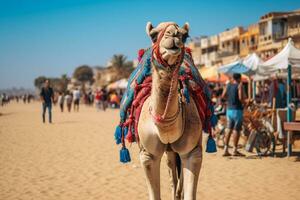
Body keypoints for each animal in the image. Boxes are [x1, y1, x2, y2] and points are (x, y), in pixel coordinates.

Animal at [137, 21, 203, 200]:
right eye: (153, 35)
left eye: (184, 35)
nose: (173, 34)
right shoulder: (148, 155)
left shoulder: (193, 153)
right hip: (168, 152)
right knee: (173, 175)